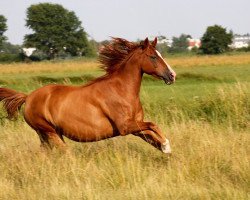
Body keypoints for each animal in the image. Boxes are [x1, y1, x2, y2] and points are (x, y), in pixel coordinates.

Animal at [0, 36, 176, 154]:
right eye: (153, 57)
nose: (172, 75)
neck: (121, 91)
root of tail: (28, 97)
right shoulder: (125, 127)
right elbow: (153, 125)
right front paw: (166, 144)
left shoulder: (136, 126)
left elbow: (152, 135)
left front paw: (165, 148)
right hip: (49, 132)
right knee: (64, 153)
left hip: (47, 134)